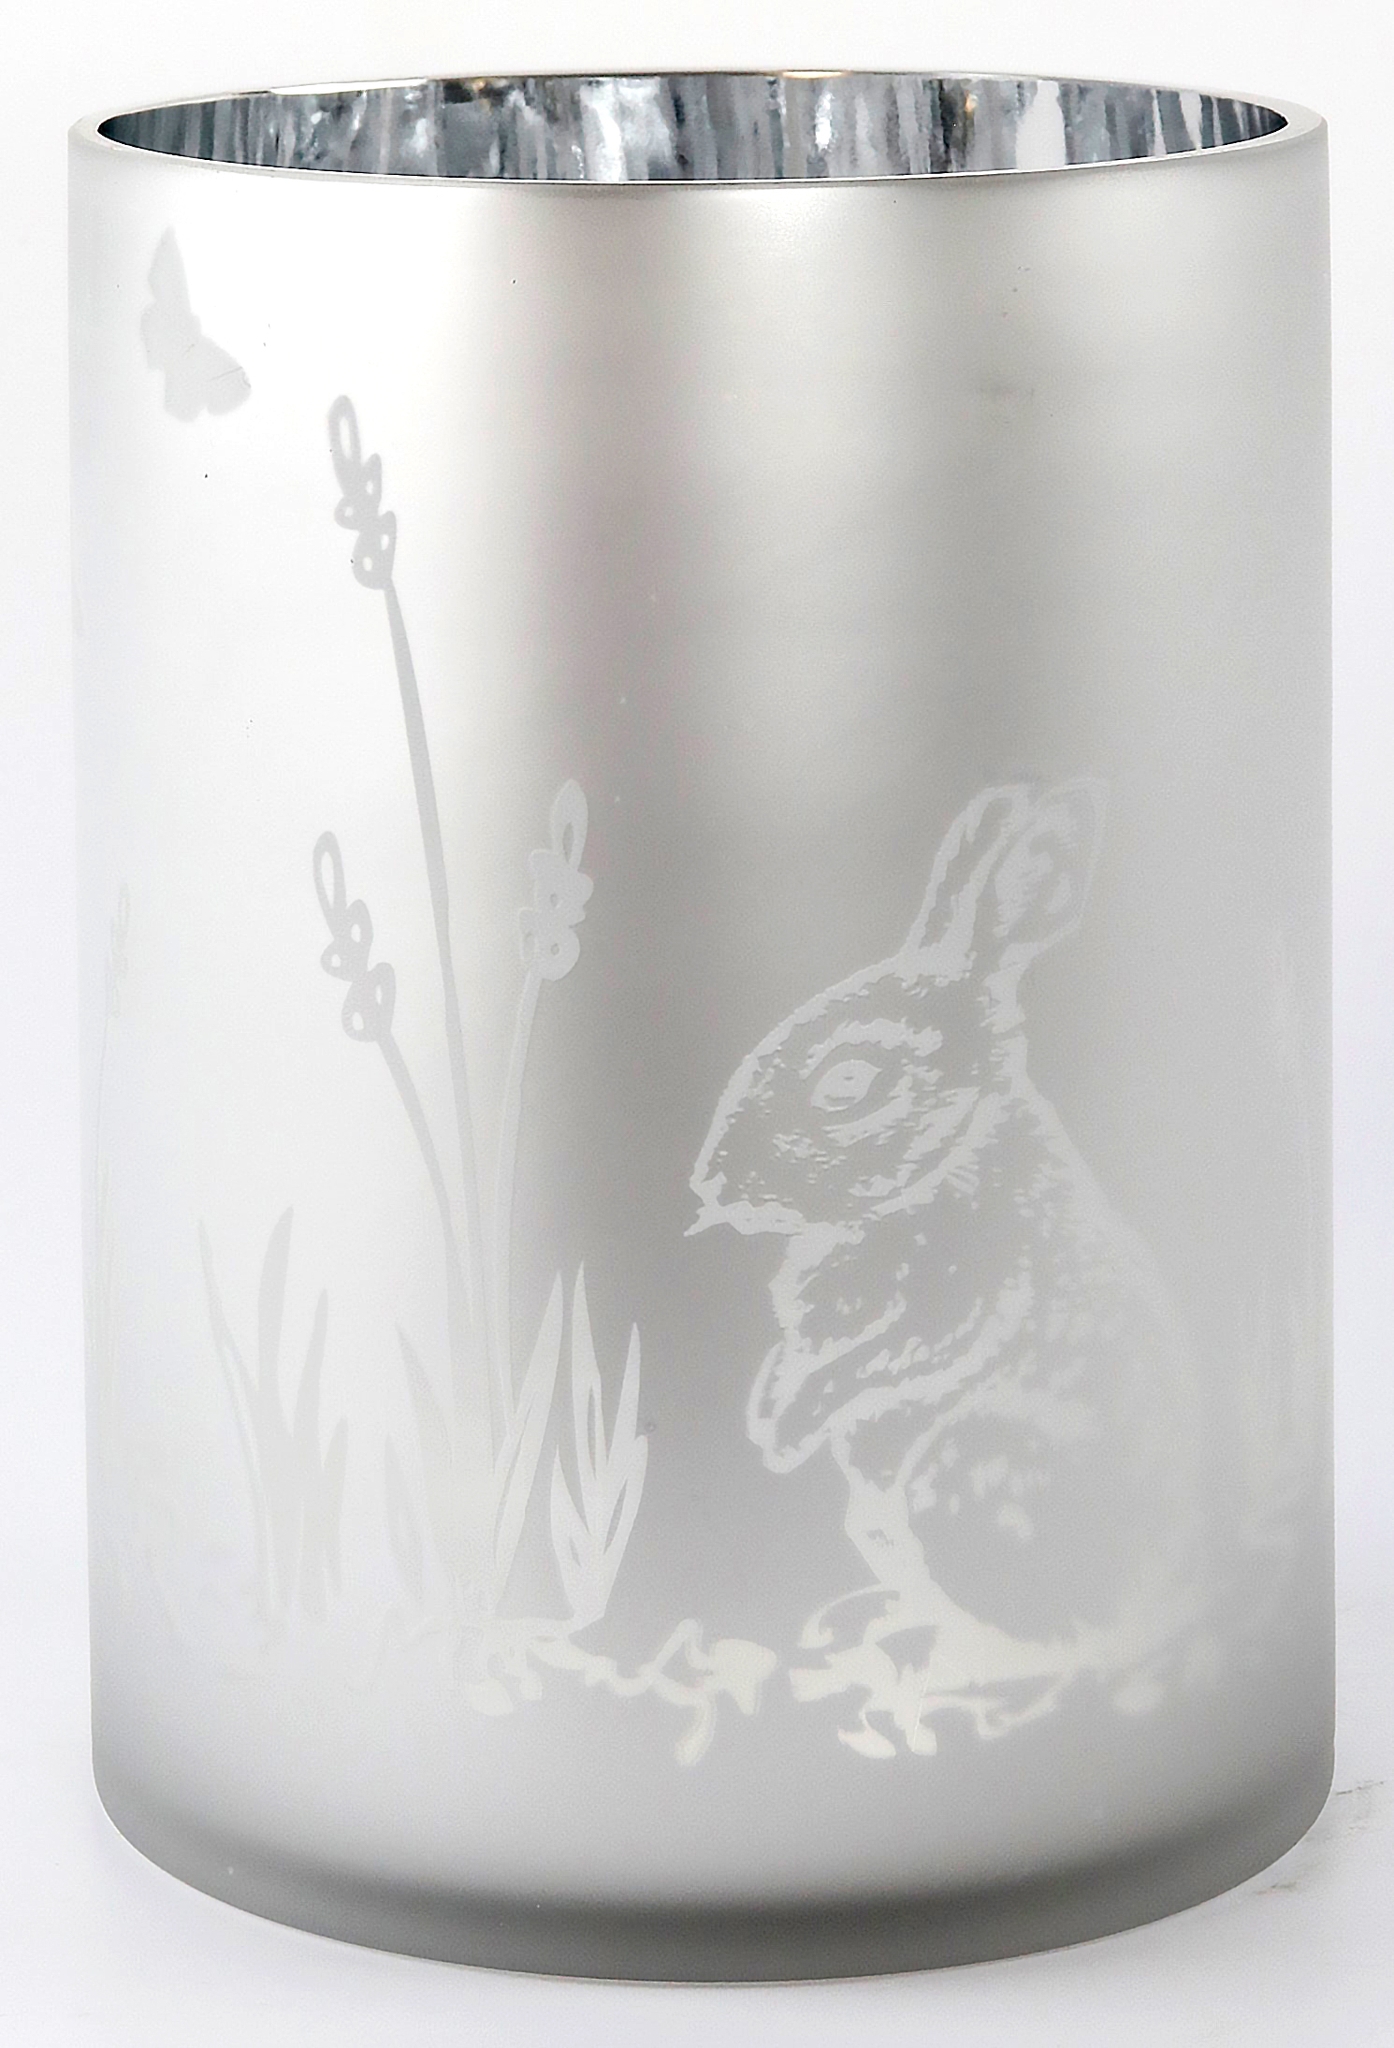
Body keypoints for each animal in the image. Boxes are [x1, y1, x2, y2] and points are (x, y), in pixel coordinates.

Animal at [689, 782, 1210, 1750]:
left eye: (847, 1082)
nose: (709, 1185)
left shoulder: (967, 1297)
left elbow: (892, 1356)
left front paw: (788, 1427)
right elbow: (798, 1356)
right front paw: (771, 1417)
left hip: (965, 1474)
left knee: (1063, 1636)